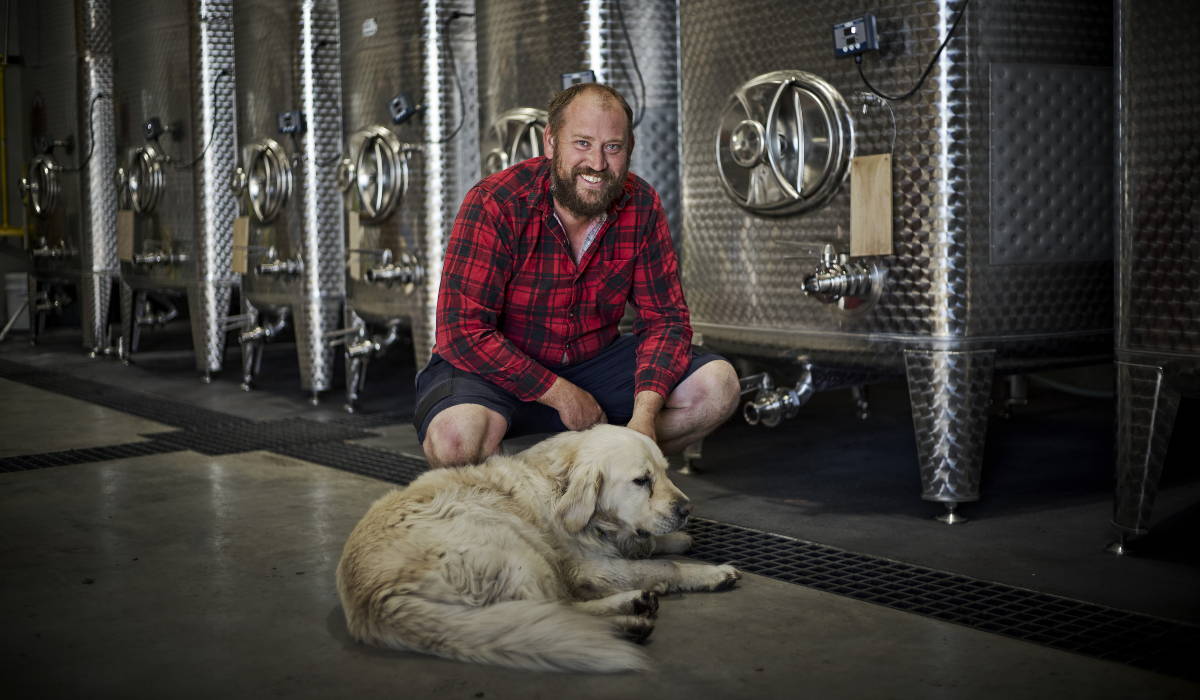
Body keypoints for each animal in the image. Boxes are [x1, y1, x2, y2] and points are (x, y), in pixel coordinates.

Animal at [338, 422, 739, 672]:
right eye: (642, 480)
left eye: (667, 471)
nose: (687, 509)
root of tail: (374, 601)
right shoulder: (590, 569)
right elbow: (664, 566)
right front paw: (711, 573)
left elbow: (647, 544)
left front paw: (676, 539)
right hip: (516, 546)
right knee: (557, 612)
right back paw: (630, 616)